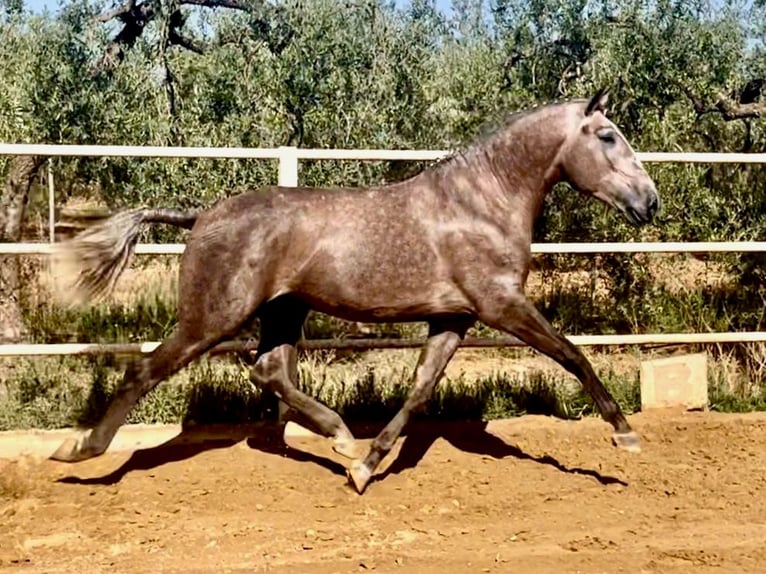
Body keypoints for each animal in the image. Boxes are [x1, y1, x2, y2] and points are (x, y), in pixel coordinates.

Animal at [46, 89, 660, 496]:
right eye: (608, 136)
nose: (649, 202)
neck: (480, 203)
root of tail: (201, 217)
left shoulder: (455, 318)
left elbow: (419, 390)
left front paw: (364, 467)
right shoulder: (501, 305)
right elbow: (573, 355)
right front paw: (624, 435)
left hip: (283, 312)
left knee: (268, 370)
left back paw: (340, 436)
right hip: (212, 318)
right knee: (147, 370)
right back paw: (79, 449)